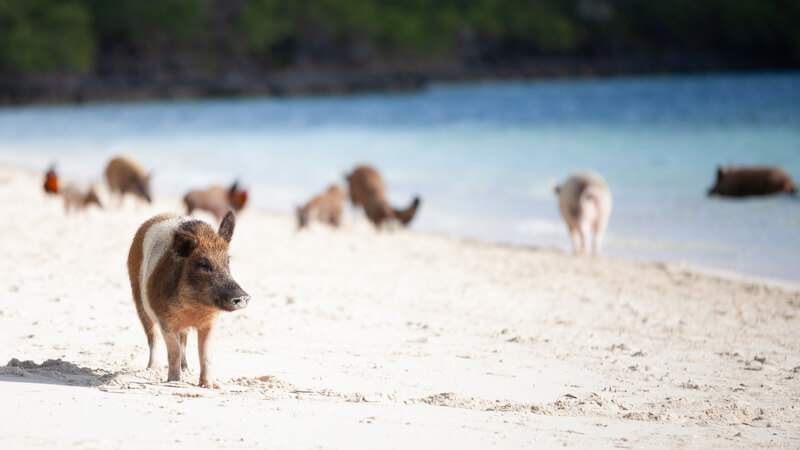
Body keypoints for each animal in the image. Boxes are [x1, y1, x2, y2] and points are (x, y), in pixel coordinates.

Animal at [126, 211, 250, 386]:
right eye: (203, 264)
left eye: (227, 261)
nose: (242, 296)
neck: (193, 308)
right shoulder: (164, 320)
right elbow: (174, 350)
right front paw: (175, 382)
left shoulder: (211, 322)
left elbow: (205, 352)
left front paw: (210, 385)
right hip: (139, 300)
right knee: (152, 336)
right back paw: (153, 369)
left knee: (183, 339)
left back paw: (186, 369)